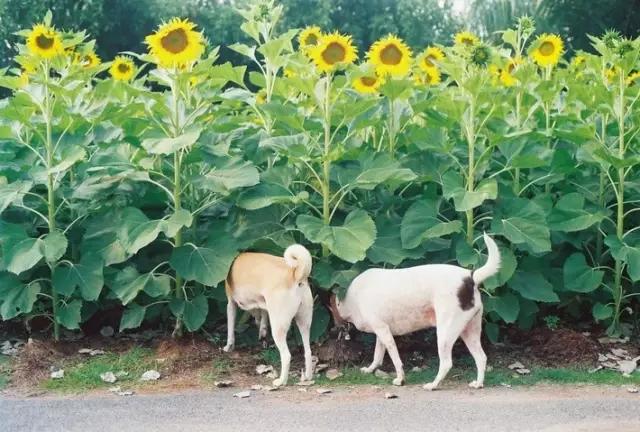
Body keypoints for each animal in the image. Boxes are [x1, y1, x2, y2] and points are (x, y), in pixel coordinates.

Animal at [222, 245, 316, 386]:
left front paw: (228, 347)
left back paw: (281, 381)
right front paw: (262, 335)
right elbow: (262, 319)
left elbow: (230, 329)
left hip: (278, 326)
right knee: (308, 351)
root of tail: (296, 273)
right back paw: (308, 377)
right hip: (304, 322)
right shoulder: (264, 306)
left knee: (286, 355)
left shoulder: (231, 304)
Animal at [330, 235, 500, 390]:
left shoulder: (383, 331)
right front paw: (370, 369)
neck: (351, 298)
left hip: (445, 334)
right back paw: (478, 384)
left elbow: (395, 359)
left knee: (446, 363)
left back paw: (433, 385)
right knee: (481, 358)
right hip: (469, 332)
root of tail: (470, 277)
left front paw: (400, 379)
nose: (334, 328)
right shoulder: (381, 332)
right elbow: (377, 355)